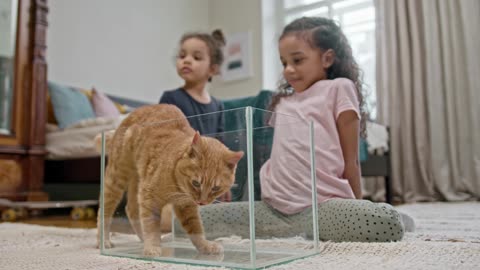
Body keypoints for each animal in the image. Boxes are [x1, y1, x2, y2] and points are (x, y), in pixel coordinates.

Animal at [97, 104, 242, 256]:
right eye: (196, 183)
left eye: (215, 188)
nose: (201, 202)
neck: (176, 186)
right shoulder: (149, 199)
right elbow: (151, 226)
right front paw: (152, 247)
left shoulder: (186, 206)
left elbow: (195, 229)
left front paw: (205, 246)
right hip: (116, 178)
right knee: (104, 211)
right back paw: (104, 241)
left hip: (136, 181)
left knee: (131, 209)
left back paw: (142, 238)